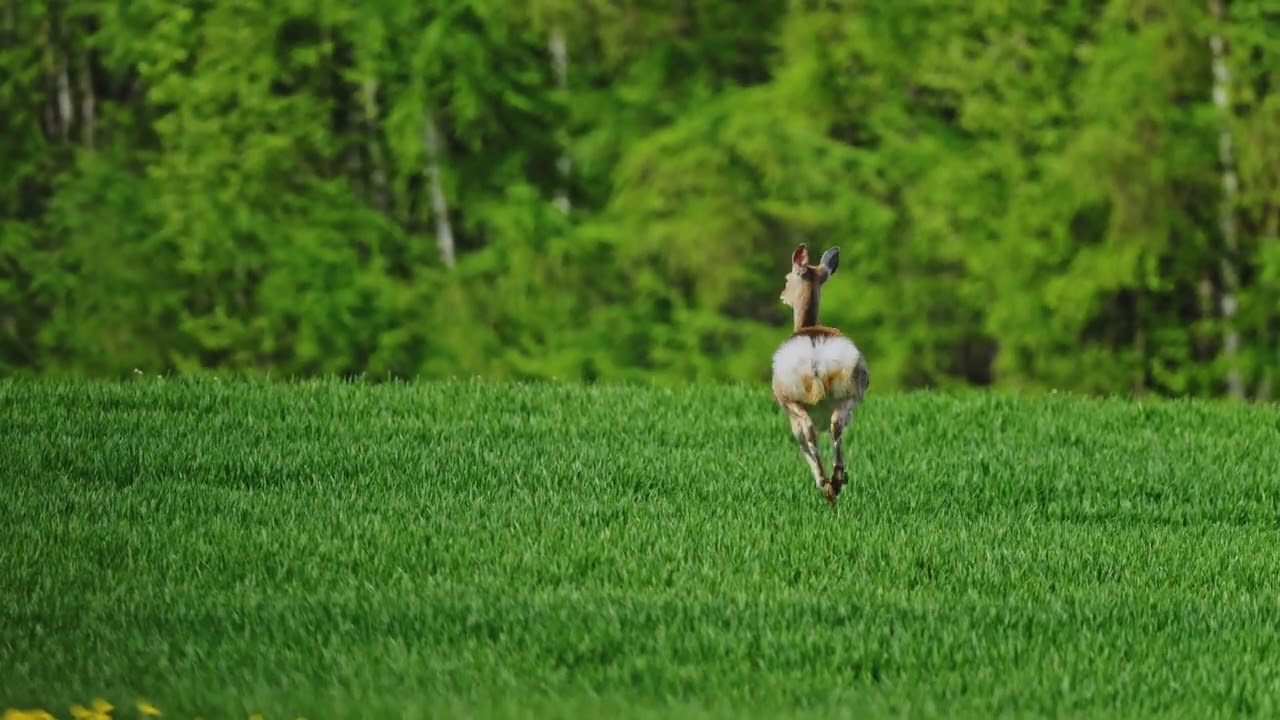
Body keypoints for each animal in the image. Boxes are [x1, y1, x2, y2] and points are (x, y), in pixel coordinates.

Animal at [770, 243, 870, 505]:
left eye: (787, 278)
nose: (781, 295)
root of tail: (815, 356)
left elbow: (802, 444)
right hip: (849, 392)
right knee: (836, 424)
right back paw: (837, 479)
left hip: (791, 399)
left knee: (809, 432)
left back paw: (827, 484)